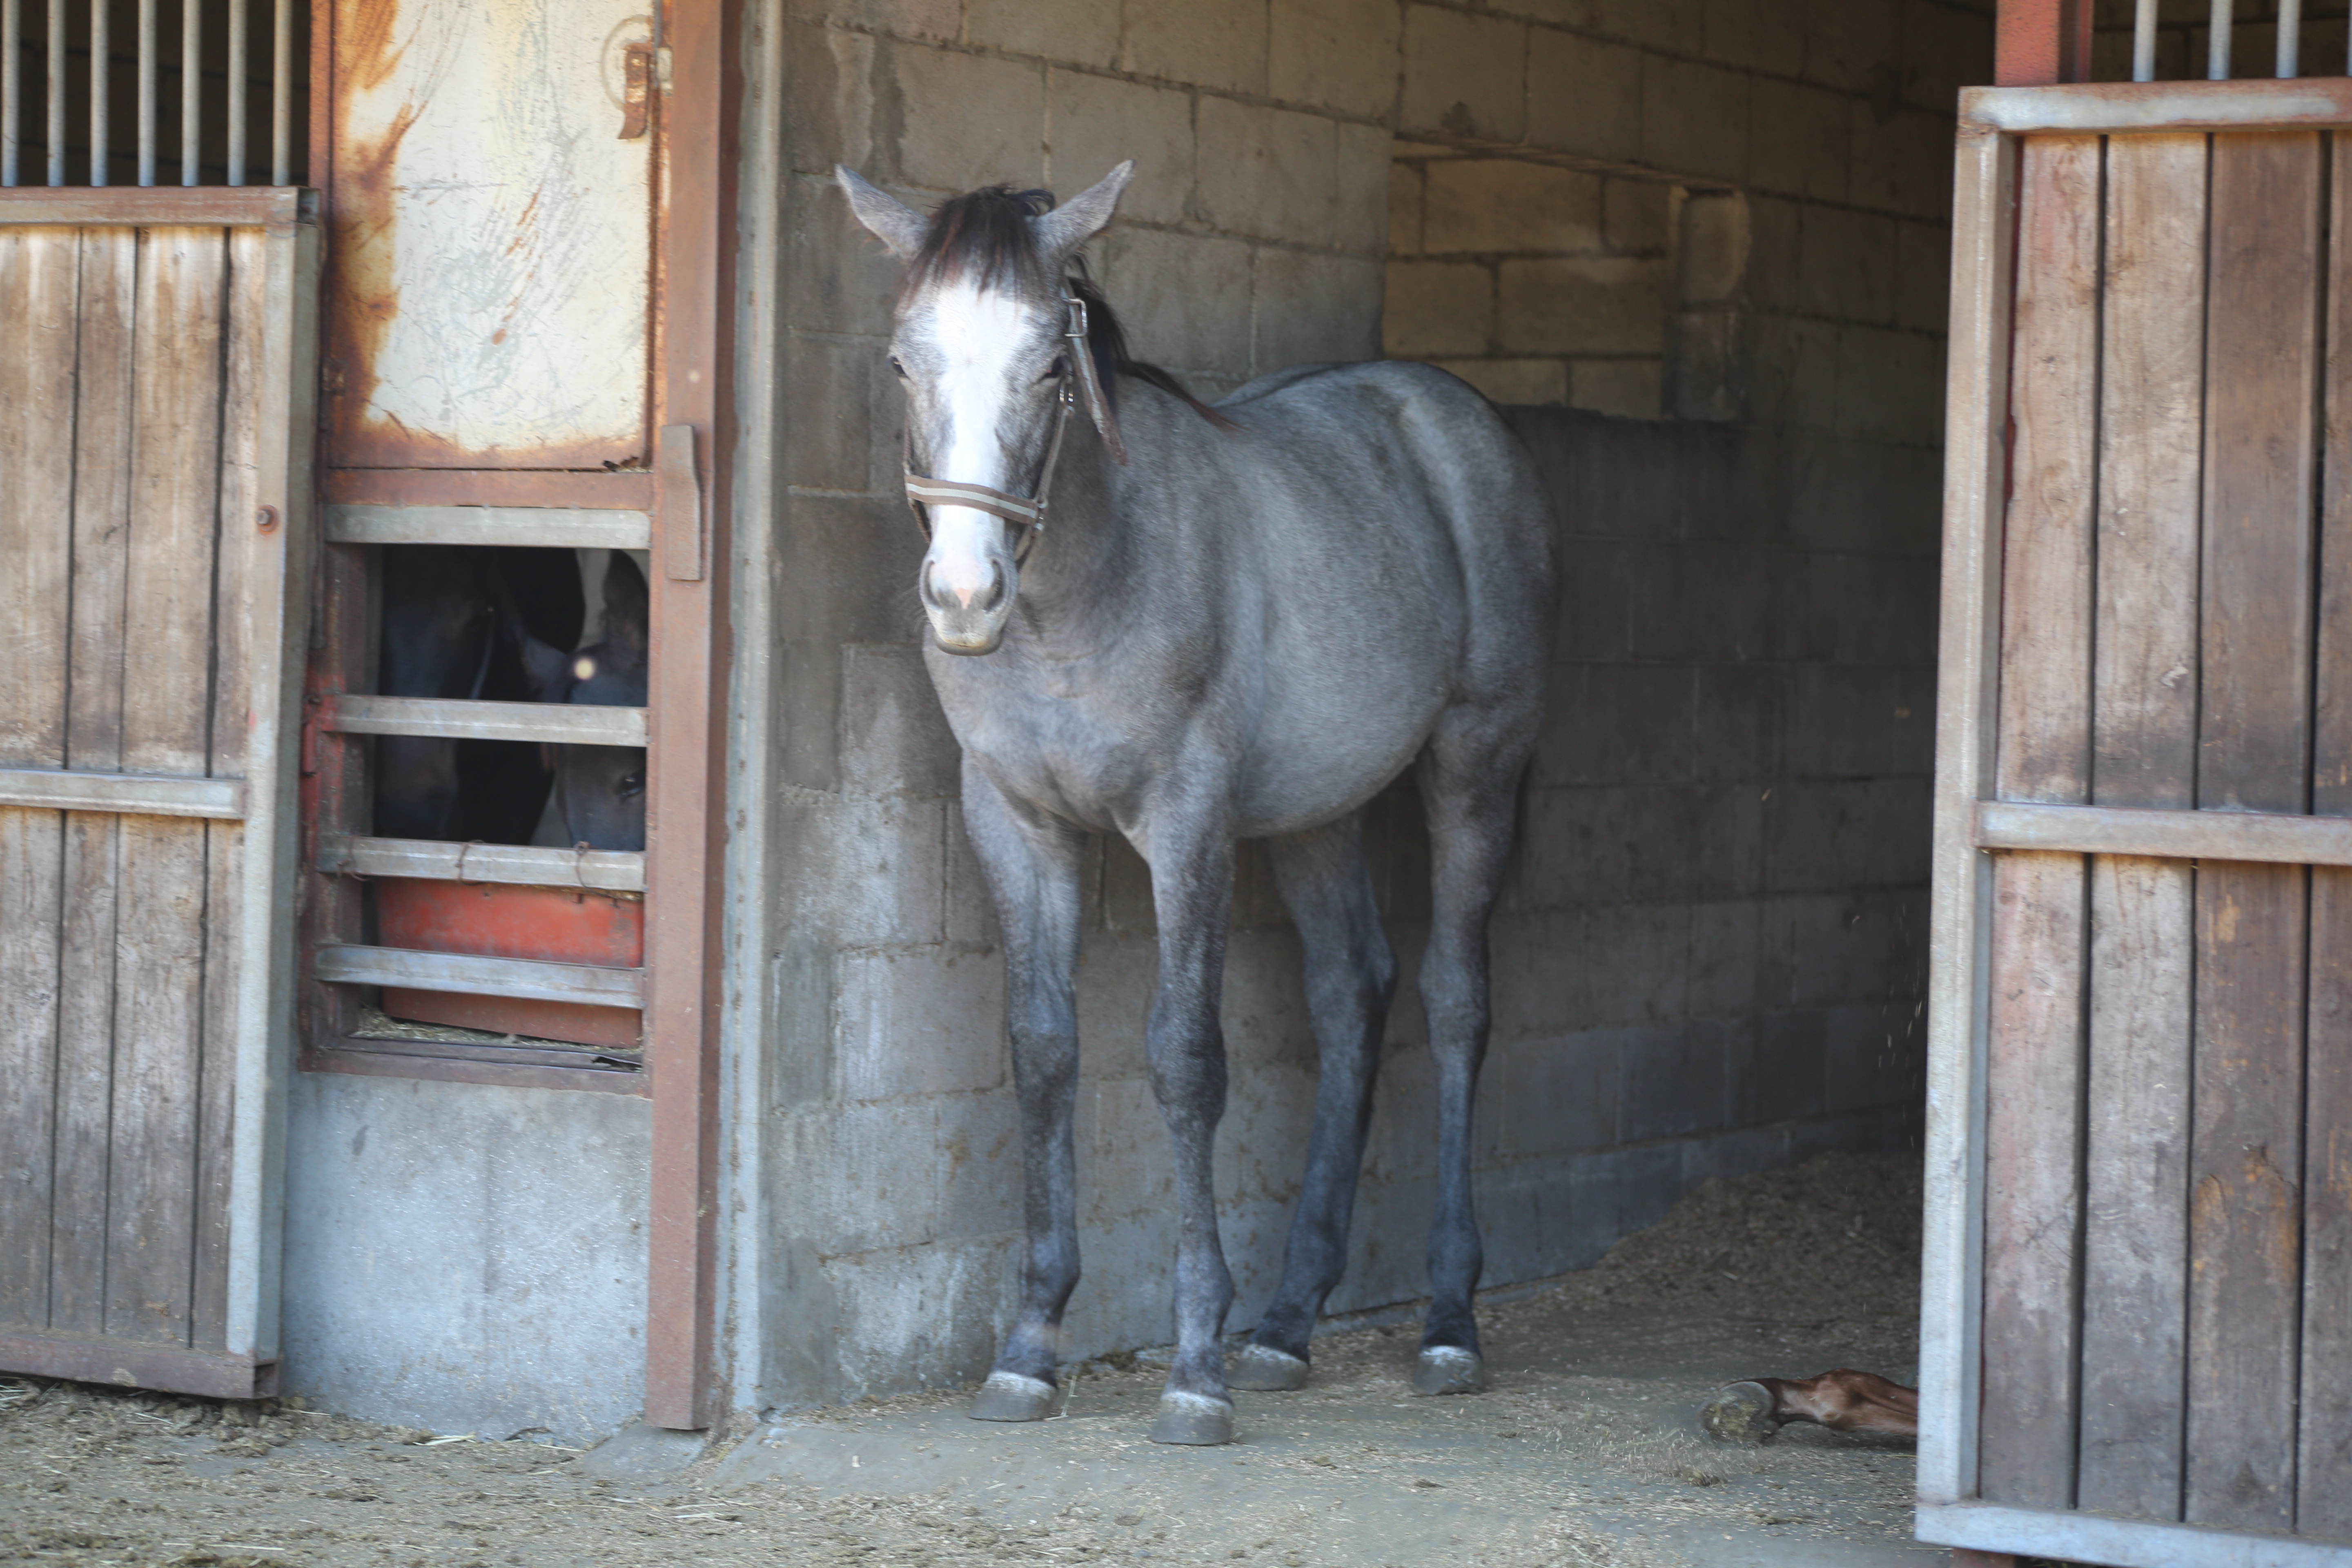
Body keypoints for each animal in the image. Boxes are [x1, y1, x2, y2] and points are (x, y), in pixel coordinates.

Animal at [837, 160, 1552, 1448]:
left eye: (1050, 367)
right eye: (902, 362)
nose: (964, 595)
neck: (1076, 597)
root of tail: (1451, 414)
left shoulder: (1187, 825)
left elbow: (1184, 1061)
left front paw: (1193, 1369)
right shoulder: (1014, 824)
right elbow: (1043, 1050)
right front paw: (1031, 1344)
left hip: (1477, 766)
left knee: (1456, 1000)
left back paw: (1446, 1321)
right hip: (1320, 813)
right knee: (1352, 993)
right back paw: (1287, 1323)